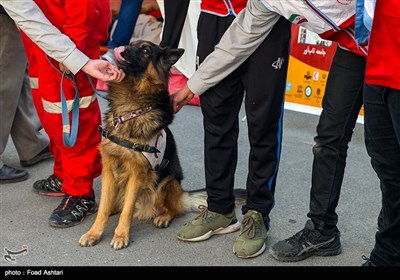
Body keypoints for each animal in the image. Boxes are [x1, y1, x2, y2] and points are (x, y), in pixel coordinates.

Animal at [78, 40, 206, 249]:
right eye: (131, 44)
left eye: (145, 50)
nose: (121, 49)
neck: (129, 111)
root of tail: (183, 195)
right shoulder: (109, 169)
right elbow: (104, 207)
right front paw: (94, 233)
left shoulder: (137, 173)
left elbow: (128, 210)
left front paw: (121, 235)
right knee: (114, 204)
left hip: (164, 182)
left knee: (172, 209)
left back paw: (163, 216)